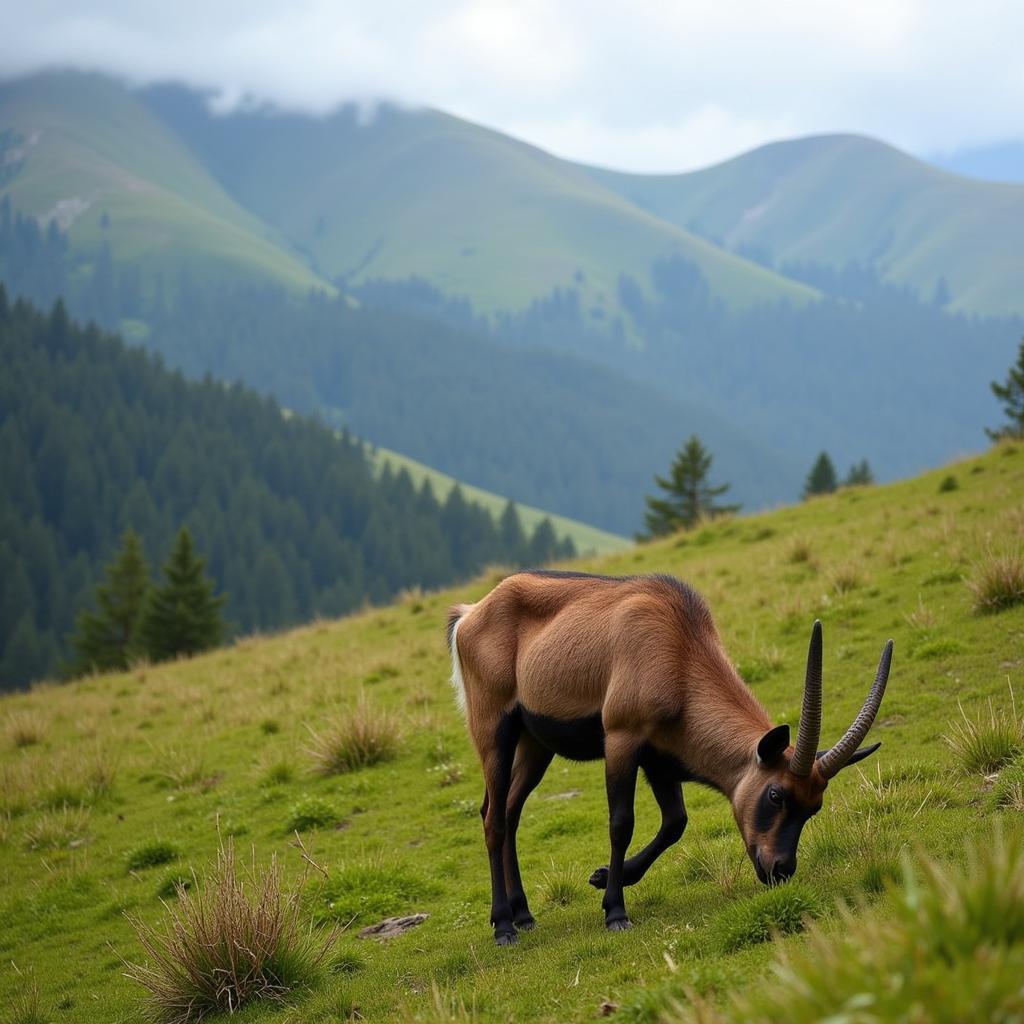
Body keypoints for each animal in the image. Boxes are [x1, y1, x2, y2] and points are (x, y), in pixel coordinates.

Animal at [444, 569, 892, 942]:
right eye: (776, 794)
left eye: (814, 807)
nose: (780, 869)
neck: (680, 650)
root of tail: (471, 615)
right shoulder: (622, 740)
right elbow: (621, 823)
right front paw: (615, 911)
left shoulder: (659, 757)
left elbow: (675, 822)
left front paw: (605, 877)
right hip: (494, 731)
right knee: (493, 818)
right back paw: (504, 926)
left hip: (535, 745)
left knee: (508, 811)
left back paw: (523, 915)